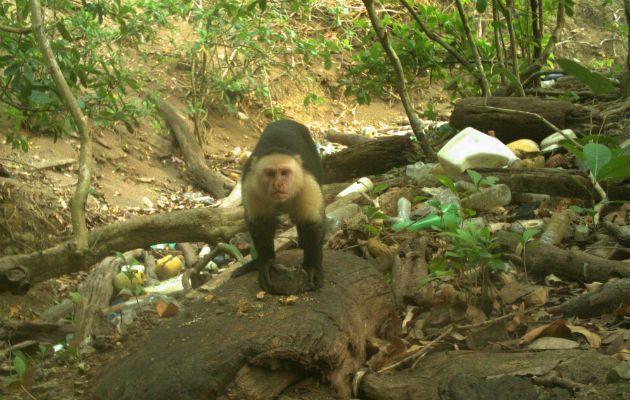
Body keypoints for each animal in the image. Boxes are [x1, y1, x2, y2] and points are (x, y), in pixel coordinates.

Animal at [235, 119, 328, 290]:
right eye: (270, 173)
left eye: (284, 173)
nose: (278, 184)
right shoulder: (251, 186)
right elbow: (260, 224)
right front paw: (266, 262)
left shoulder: (307, 185)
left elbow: (313, 224)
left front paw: (311, 266)